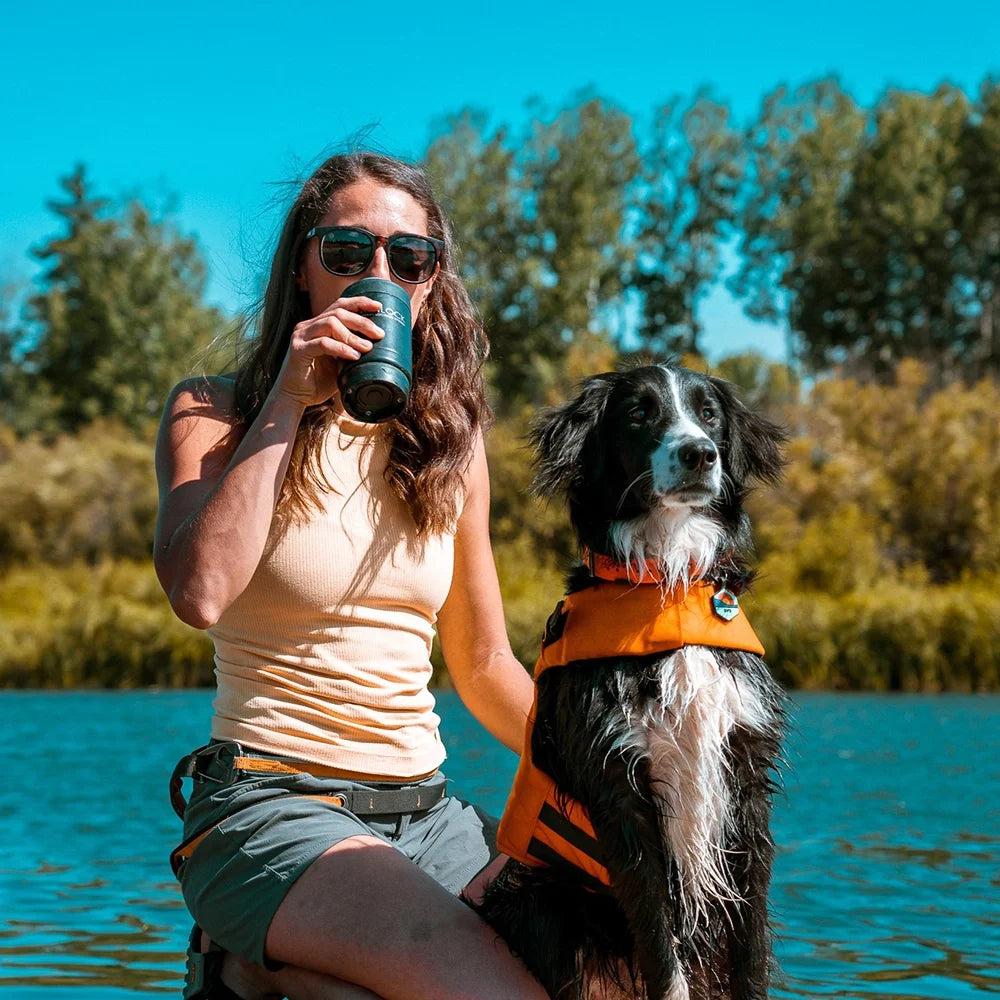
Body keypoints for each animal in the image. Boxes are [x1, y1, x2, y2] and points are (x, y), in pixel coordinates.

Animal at [476, 368, 788, 1000]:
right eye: (639, 413)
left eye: (709, 413)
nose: (699, 453)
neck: (666, 584)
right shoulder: (619, 787)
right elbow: (661, 946)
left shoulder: (746, 777)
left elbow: (749, 944)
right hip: (545, 905)